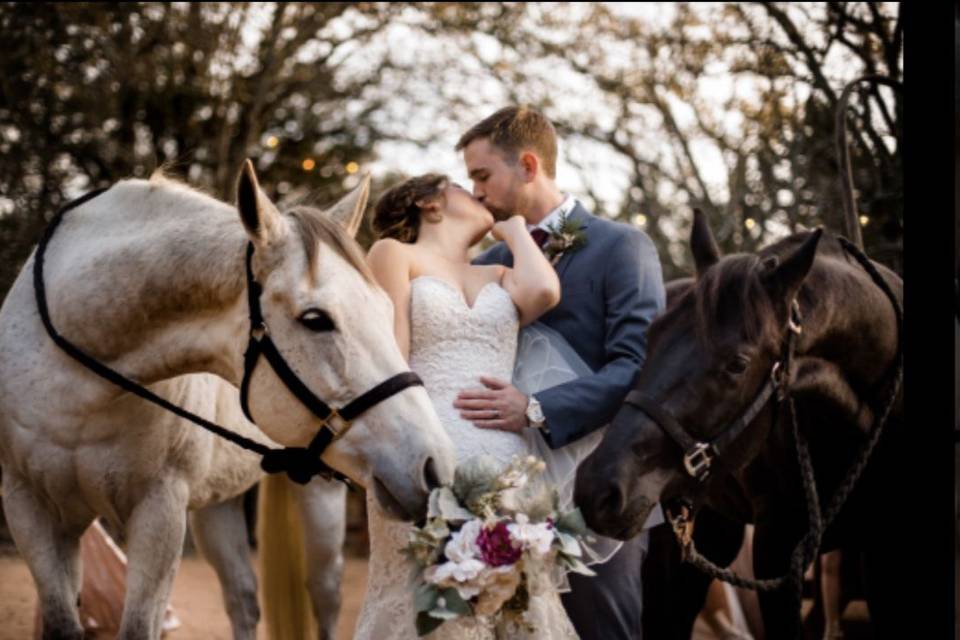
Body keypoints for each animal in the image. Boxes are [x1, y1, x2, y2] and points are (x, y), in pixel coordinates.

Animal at [0, 162, 456, 636]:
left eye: (387, 310)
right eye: (315, 319)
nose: (434, 464)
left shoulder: (159, 512)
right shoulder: (30, 510)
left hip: (319, 495)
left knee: (324, 597)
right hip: (218, 505)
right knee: (243, 600)